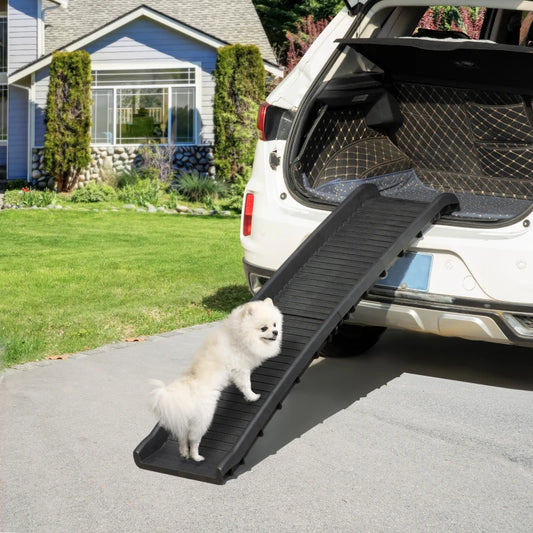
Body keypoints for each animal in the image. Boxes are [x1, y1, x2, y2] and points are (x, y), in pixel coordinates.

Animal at [149, 298, 282, 460]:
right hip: (203, 418)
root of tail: (185, 393)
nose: (275, 332)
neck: (239, 335)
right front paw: (253, 396)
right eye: (264, 328)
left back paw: (184, 452)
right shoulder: (240, 369)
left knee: (182, 438)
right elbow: (246, 385)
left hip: (186, 422)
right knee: (193, 440)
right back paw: (196, 457)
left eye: (275, 324)